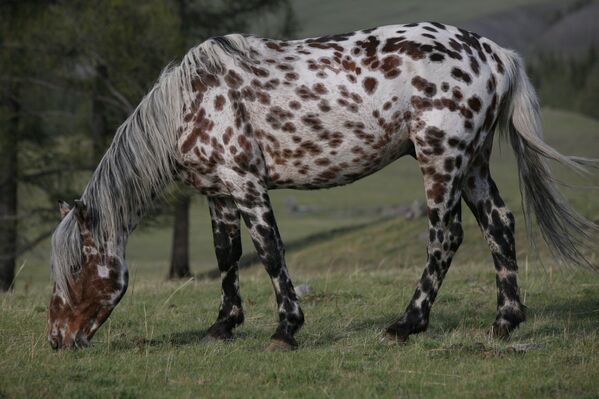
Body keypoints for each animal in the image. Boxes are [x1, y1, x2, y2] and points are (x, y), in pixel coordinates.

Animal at [48, 23, 599, 352]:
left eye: (74, 269)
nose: (57, 339)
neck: (192, 102)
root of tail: (496, 54)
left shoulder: (245, 183)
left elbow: (269, 251)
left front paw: (286, 329)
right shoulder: (218, 192)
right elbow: (227, 256)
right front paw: (223, 325)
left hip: (442, 160)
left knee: (446, 236)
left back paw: (407, 323)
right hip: (474, 165)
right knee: (499, 226)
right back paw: (505, 320)